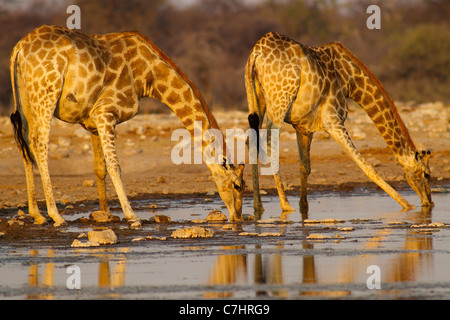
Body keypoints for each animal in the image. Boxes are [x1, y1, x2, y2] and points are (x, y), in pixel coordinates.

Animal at [9, 25, 243, 226]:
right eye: (238, 185)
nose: (238, 217)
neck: (149, 76)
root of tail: (19, 48)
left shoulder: (93, 121)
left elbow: (100, 168)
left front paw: (105, 213)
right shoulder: (105, 112)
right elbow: (115, 166)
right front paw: (131, 215)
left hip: (26, 100)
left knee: (25, 145)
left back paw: (37, 214)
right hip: (46, 95)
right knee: (39, 145)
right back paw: (55, 215)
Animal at [244, 31, 434, 215]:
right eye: (427, 174)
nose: (428, 203)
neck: (351, 81)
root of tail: (256, 53)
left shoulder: (304, 127)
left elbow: (305, 167)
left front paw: (304, 207)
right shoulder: (333, 121)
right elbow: (366, 166)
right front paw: (408, 206)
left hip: (257, 98)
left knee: (251, 139)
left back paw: (258, 205)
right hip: (279, 101)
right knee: (270, 141)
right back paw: (285, 205)